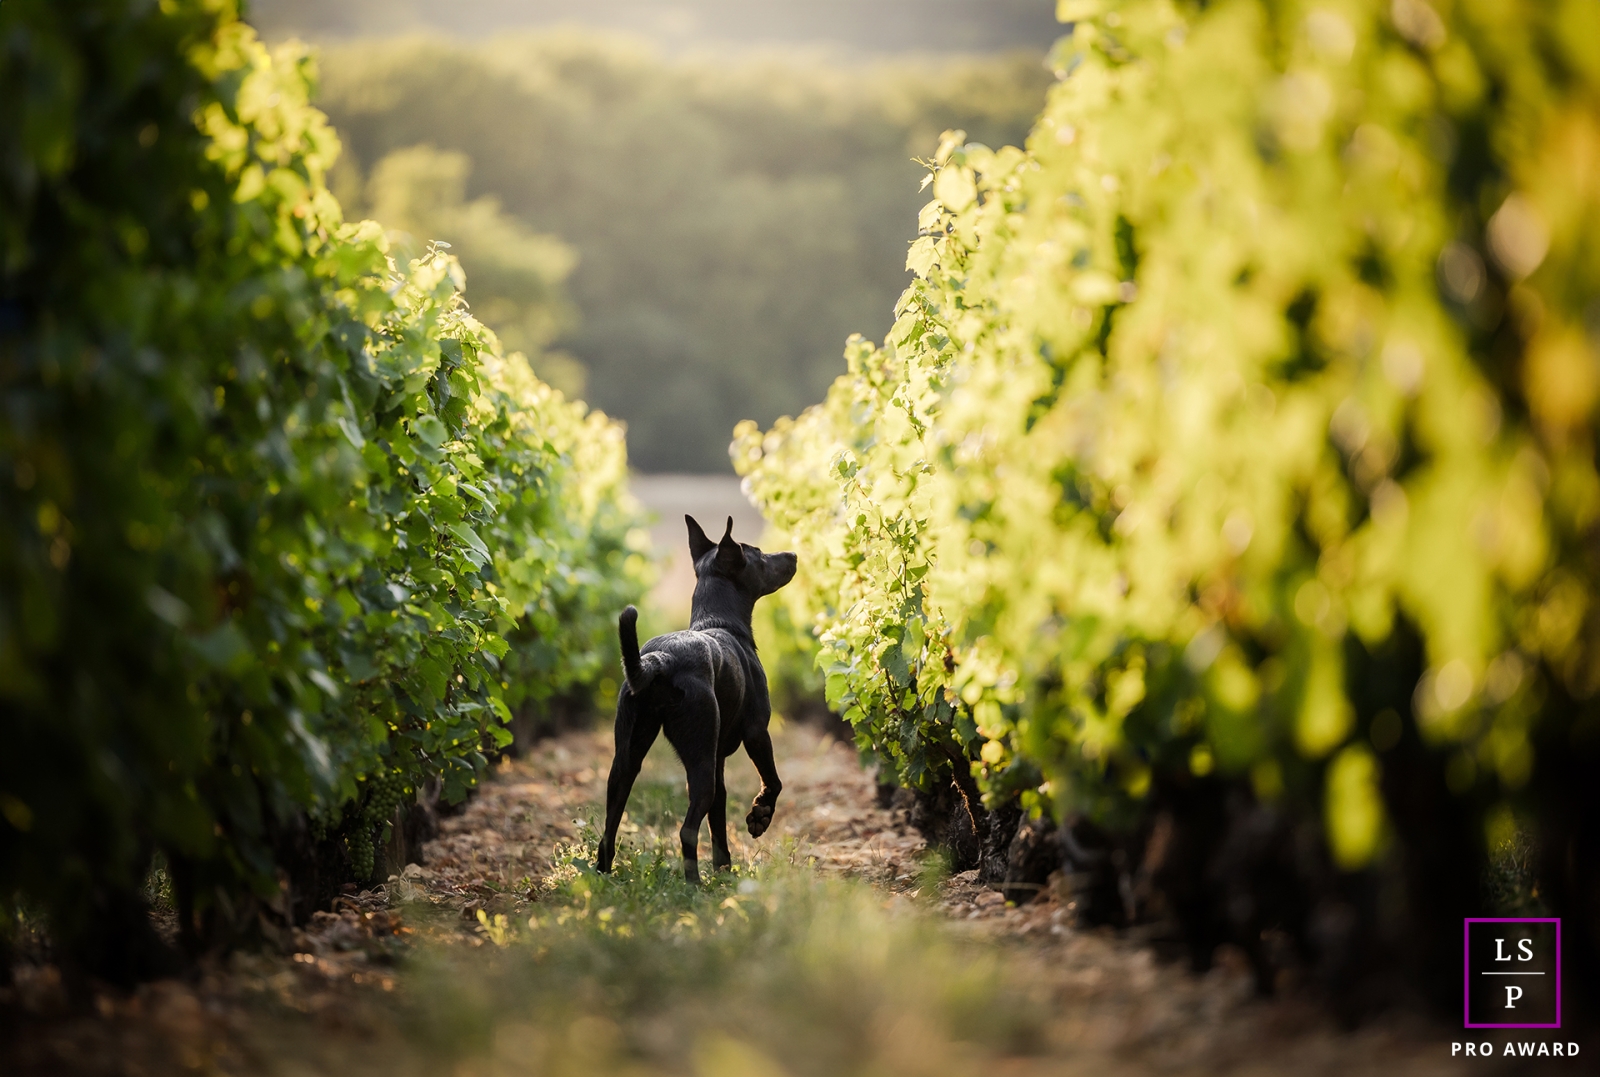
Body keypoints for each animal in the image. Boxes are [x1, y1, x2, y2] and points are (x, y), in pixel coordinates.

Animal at [598, 515, 796, 883]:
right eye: (760, 555)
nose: (792, 554)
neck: (718, 621)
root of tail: (660, 660)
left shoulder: (718, 759)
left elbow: (719, 818)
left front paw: (724, 869)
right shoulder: (757, 733)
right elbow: (773, 781)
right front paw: (760, 815)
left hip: (626, 761)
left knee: (609, 829)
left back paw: (601, 876)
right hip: (699, 760)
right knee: (687, 830)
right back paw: (693, 884)